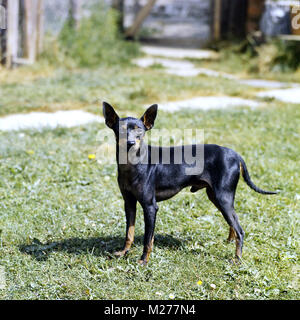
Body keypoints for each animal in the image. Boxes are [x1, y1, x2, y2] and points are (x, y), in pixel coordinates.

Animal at [102, 101, 276, 264]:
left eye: (139, 130)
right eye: (120, 130)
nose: (130, 143)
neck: (132, 163)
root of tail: (236, 155)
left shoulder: (150, 206)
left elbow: (147, 239)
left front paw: (144, 260)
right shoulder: (129, 203)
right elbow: (129, 233)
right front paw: (123, 252)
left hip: (223, 198)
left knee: (240, 230)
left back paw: (237, 259)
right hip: (216, 197)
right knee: (234, 223)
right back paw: (229, 241)